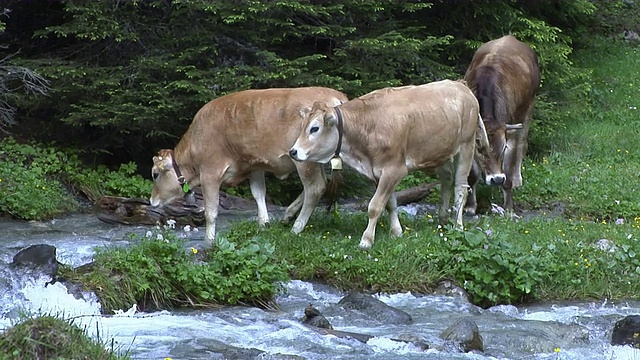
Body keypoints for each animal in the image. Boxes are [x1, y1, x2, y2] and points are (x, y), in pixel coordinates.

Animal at [288, 80, 502, 249]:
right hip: (439, 152)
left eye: (314, 128)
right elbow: (389, 203)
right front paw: (396, 232)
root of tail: (461, 85)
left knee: (460, 187)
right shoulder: (379, 171)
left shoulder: (395, 169)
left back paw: (457, 226)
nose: (293, 151)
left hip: (466, 146)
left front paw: (366, 241)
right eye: (301, 126)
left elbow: (375, 206)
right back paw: (442, 218)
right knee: (446, 178)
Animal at [464, 34, 540, 214]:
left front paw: (509, 208)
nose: (497, 179)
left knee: (522, 143)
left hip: (529, 107)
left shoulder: (509, 133)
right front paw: (470, 206)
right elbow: (472, 175)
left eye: (504, 147)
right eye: (479, 148)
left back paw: (518, 179)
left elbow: (509, 171)